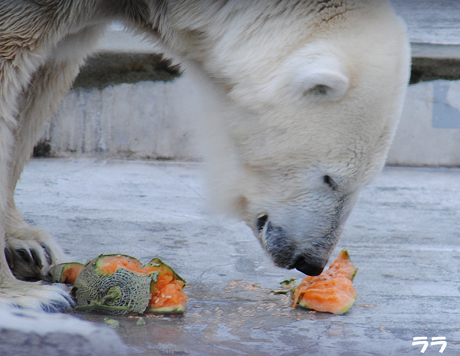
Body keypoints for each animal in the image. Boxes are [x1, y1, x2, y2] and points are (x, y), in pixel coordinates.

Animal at [0, 0, 410, 310]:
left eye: (364, 184)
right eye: (331, 179)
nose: (311, 262)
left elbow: (42, 81)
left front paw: (28, 243)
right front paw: (27, 295)